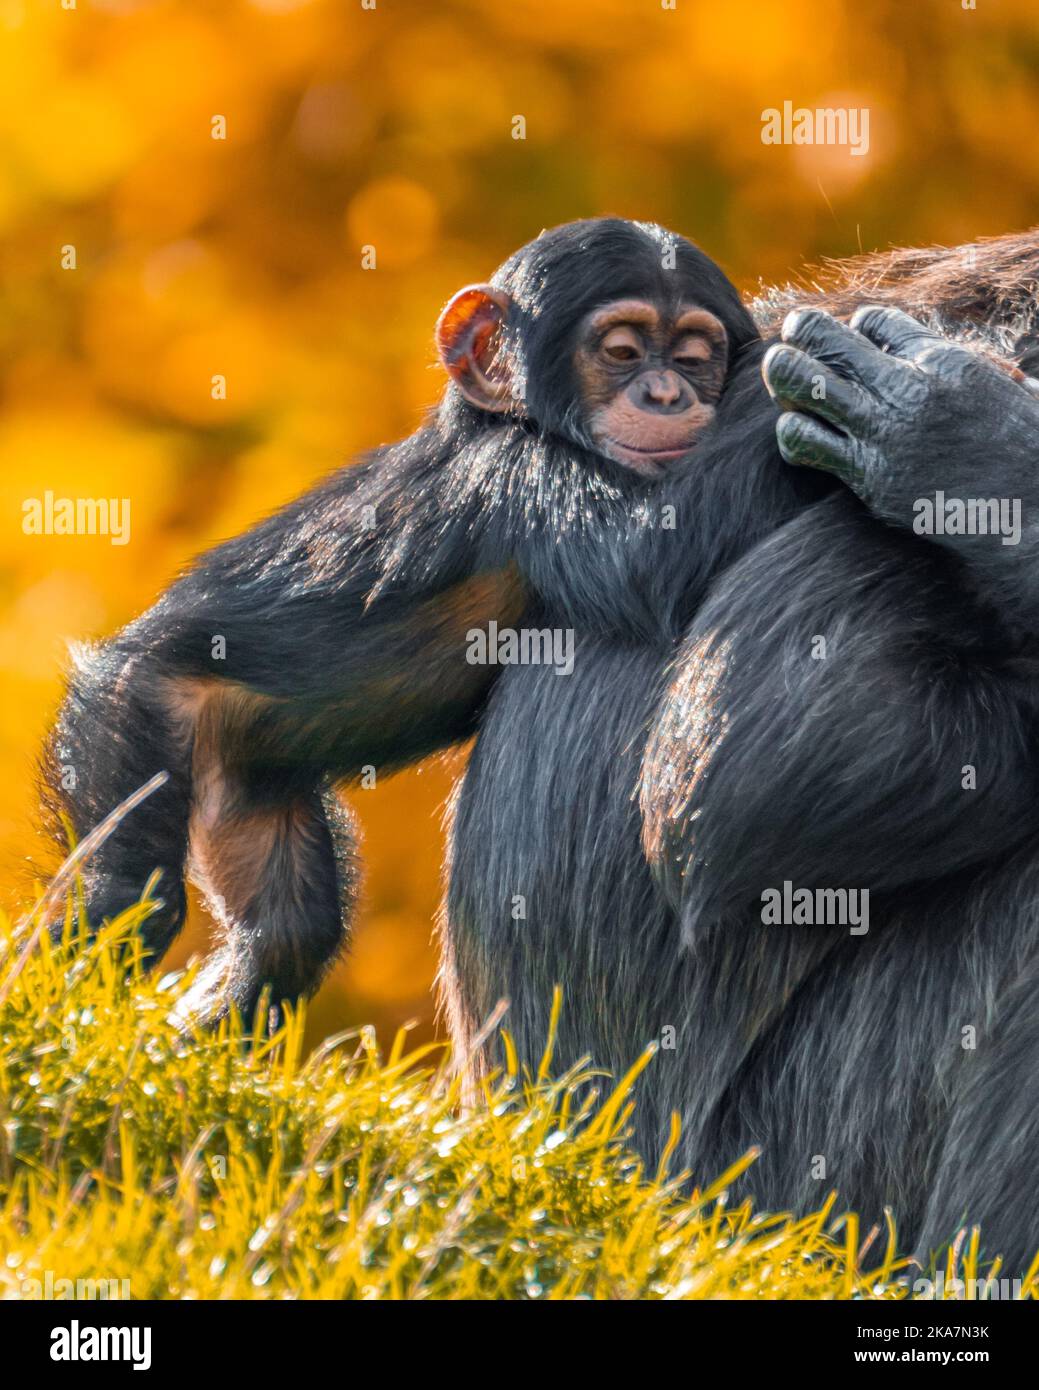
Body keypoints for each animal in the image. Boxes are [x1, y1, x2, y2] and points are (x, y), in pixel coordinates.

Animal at [44, 216, 1039, 1273]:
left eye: (692, 354)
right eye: (623, 350)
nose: (667, 392)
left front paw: (939, 420)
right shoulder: (540, 490)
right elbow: (744, 712)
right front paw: (955, 427)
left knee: (285, 926)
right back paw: (90, 959)